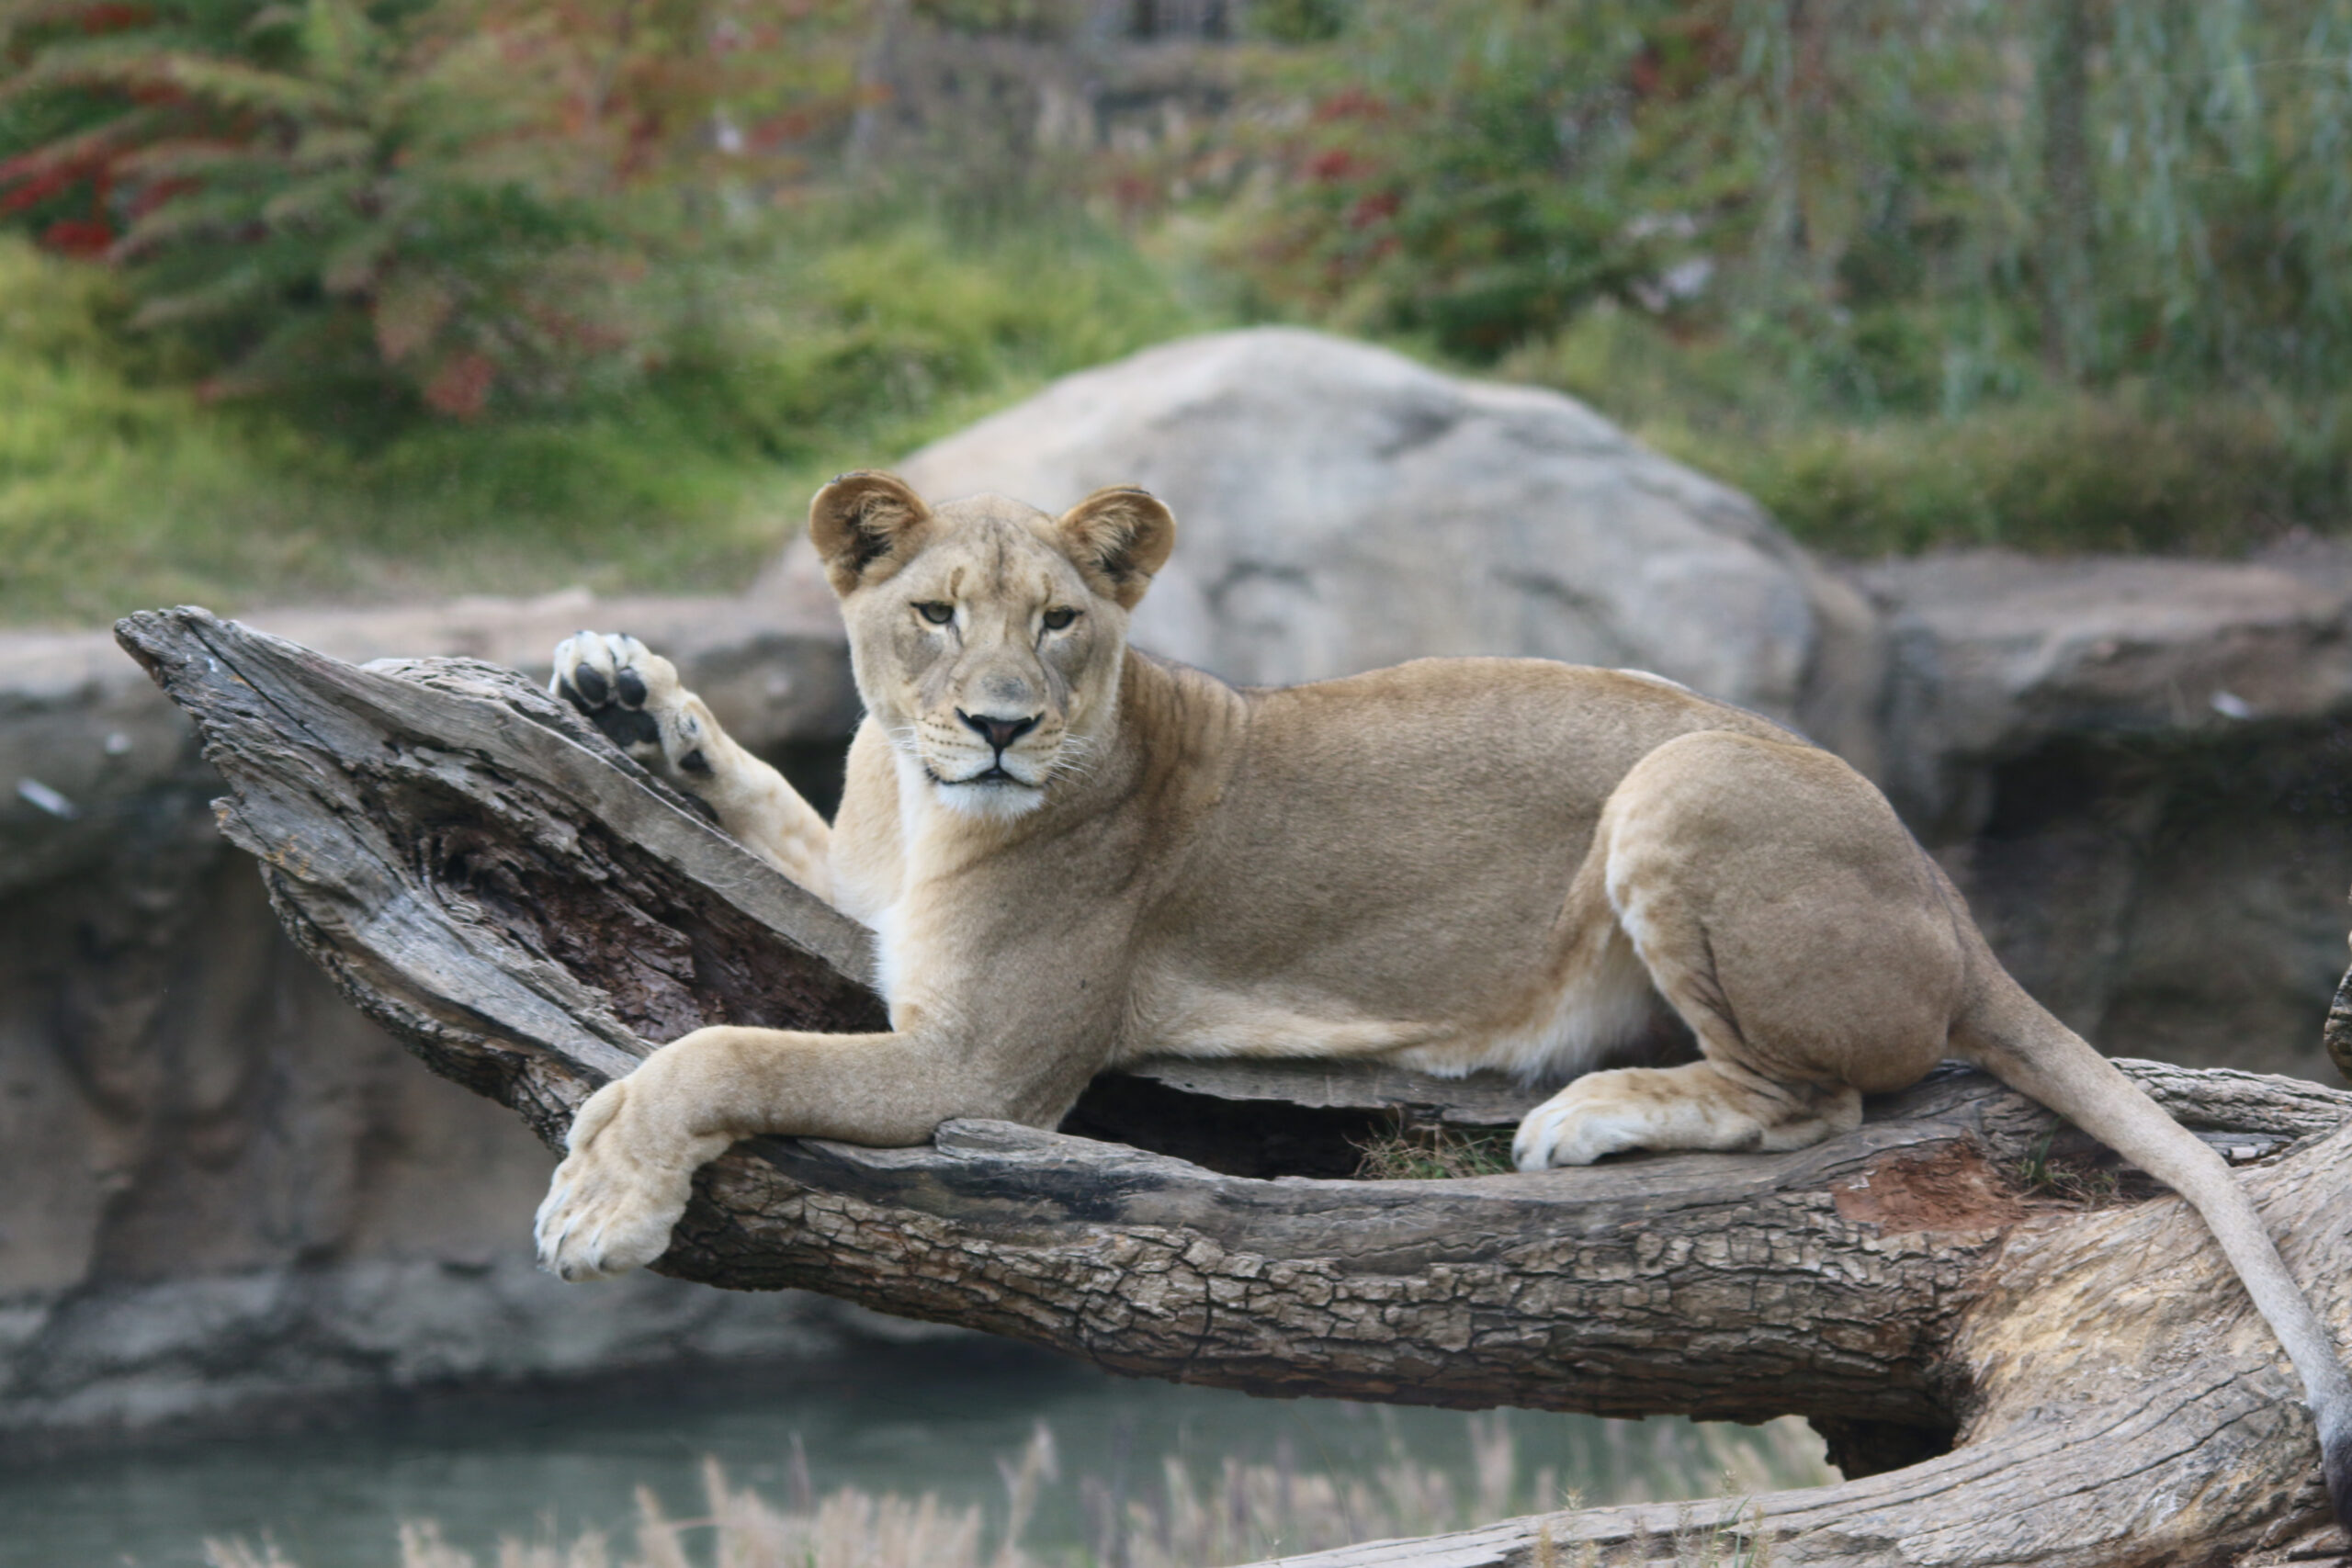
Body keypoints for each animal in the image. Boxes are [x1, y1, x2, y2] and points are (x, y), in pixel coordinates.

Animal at [535, 471, 2350, 1520]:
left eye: (1056, 622)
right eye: (930, 616)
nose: (996, 726)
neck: (929, 806)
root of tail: (1949, 900)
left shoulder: (981, 1065)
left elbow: (717, 1045)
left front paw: (599, 1201)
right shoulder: (873, 897)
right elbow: (772, 818)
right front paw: (627, 692)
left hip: (1679, 782)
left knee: (1822, 1094)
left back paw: (1589, 1115)